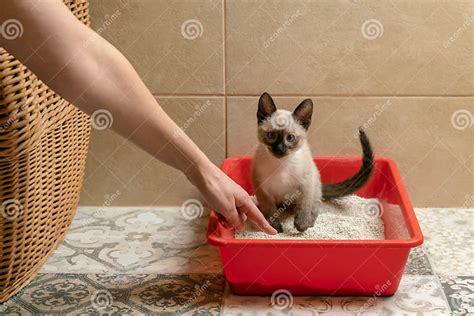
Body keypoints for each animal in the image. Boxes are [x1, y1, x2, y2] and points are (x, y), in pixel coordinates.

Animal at [252, 91, 374, 232]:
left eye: (290, 138)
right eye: (271, 135)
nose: (280, 149)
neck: (281, 165)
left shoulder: (305, 184)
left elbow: (304, 206)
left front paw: (302, 225)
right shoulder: (262, 189)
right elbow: (270, 210)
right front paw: (275, 227)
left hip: (314, 186)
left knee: (314, 207)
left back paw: (310, 223)